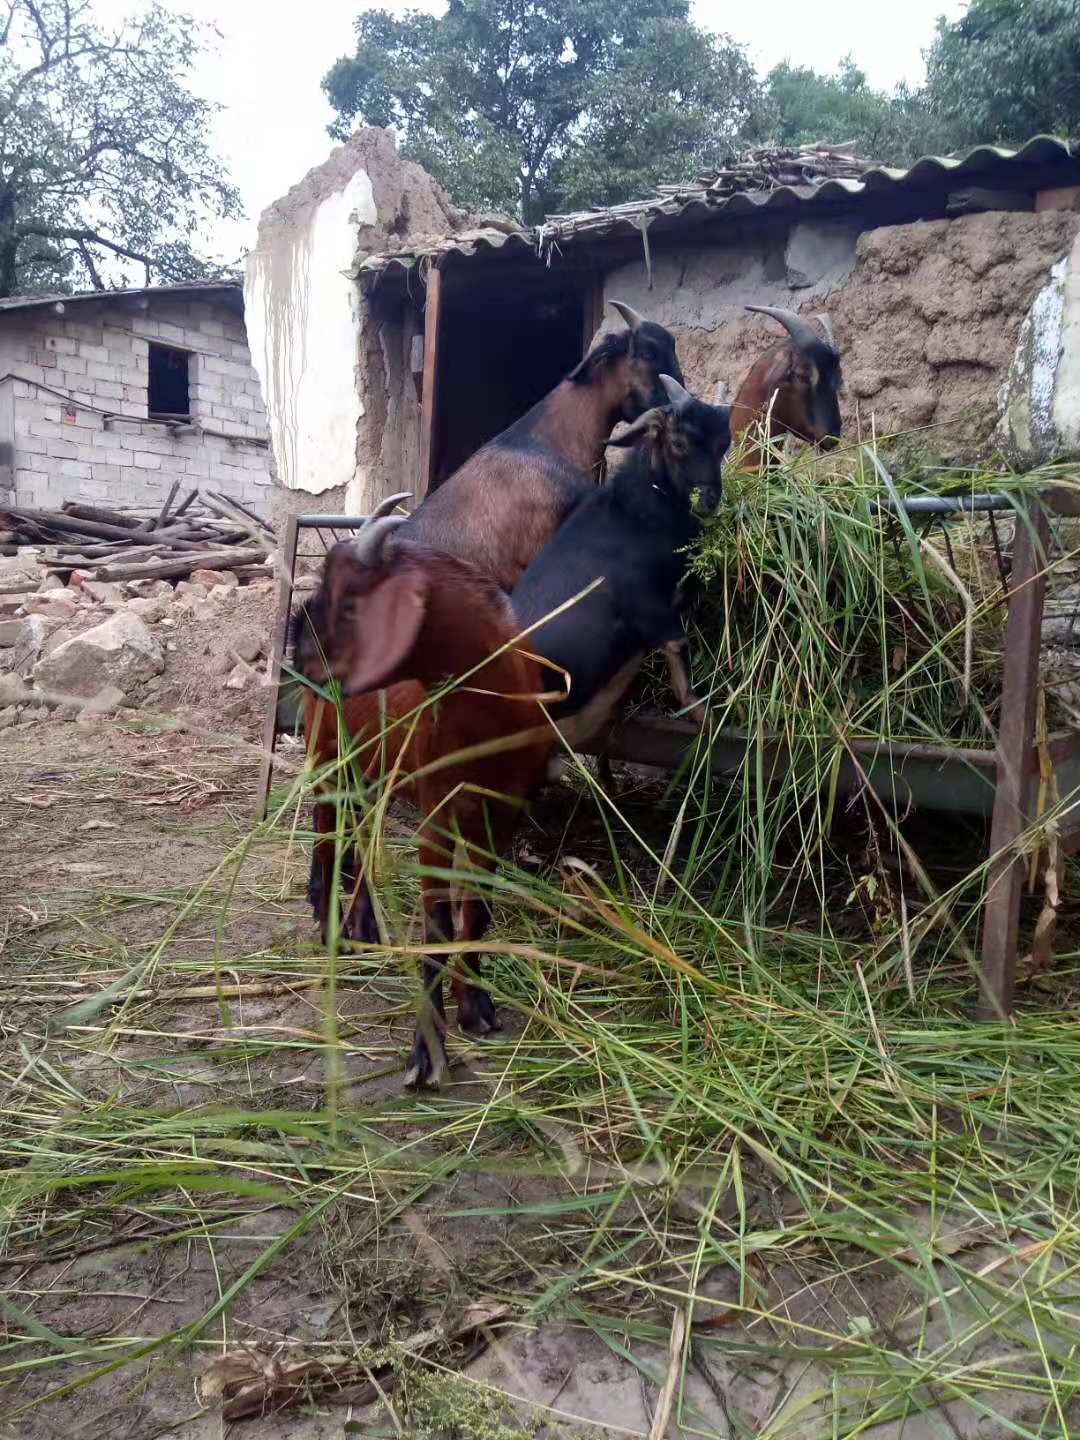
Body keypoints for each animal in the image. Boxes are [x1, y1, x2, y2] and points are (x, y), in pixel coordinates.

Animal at [293, 512, 558, 1082]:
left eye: (350, 602)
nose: (300, 645)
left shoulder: (501, 810)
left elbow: (475, 908)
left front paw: (477, 1004)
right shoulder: (438, 809)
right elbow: (438, 920)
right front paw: (427, 1051)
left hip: (372, 765)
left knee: (360, 828)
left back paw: (364, 923)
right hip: (327, 749)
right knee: (326, 828)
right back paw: (329, 923)